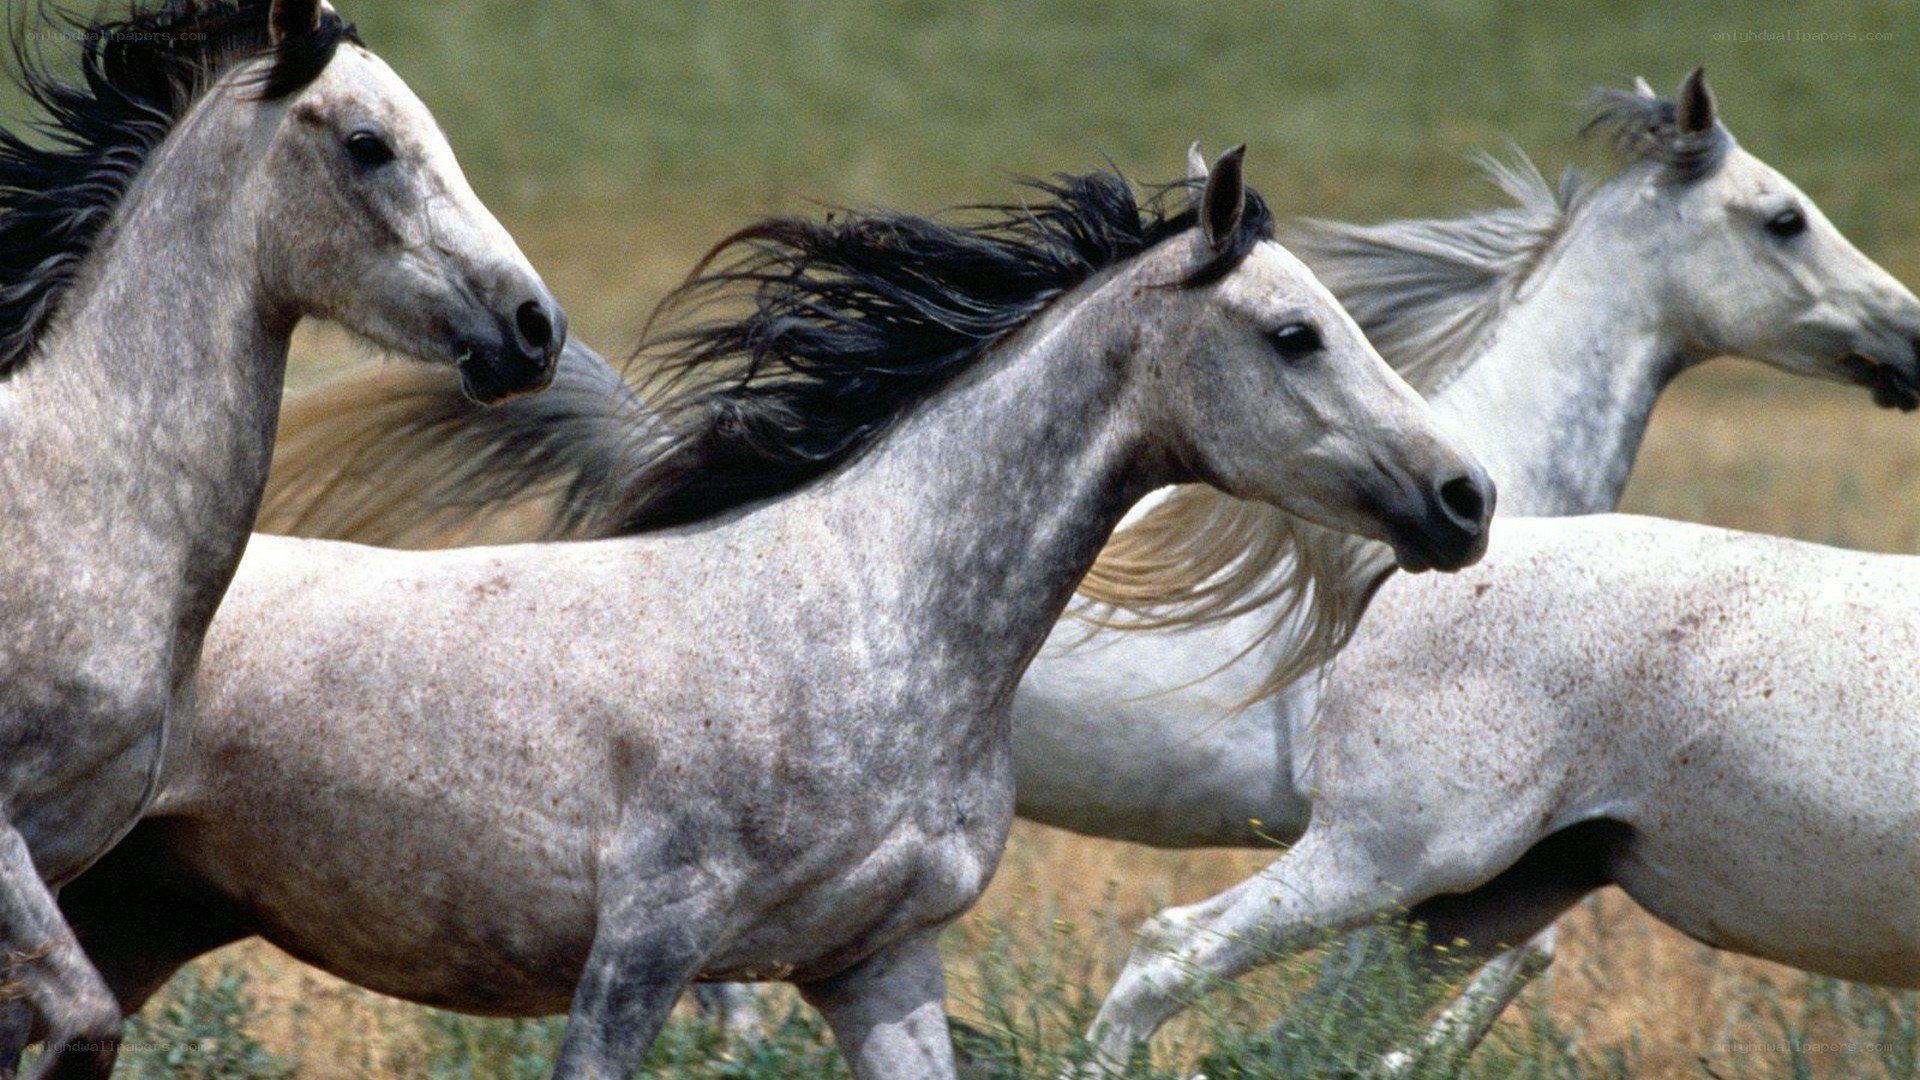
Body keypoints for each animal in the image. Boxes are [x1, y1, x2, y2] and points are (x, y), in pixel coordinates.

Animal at [46, 149, 1494, 1079]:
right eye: (1296, 333)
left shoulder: (881, 964)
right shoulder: (643, 951)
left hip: (136, 917)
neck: (860, 623)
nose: (1467, 496)